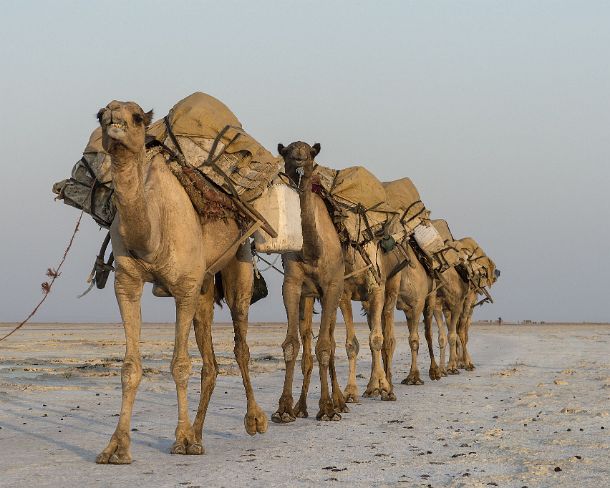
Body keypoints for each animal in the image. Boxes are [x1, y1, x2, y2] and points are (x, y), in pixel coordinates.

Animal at [94, 101, 264, 464]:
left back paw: (255, 420)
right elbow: (130, 367)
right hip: (204, 288)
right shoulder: (126, 283)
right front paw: (116, 447)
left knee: (241, 343)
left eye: (137, 117)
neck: (151, 233)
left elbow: (180, 364)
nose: (114, 122)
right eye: (100, 114)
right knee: (211, 363)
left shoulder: (184, 287)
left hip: (239, 259)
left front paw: (182, 440)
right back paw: (200, 433)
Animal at [270, 142, 346, 424]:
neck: (313, 252)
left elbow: (325, 346)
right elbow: (292, 345)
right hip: (308, 297)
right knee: (307, 345)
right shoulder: (291, 285)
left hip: (336, 294)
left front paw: (327, 408)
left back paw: (339, 402)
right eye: (287, 153)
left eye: (311, 154)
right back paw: (301, 407)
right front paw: (284, 409)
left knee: (331, 341)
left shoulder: (332, 287)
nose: (300, 160)